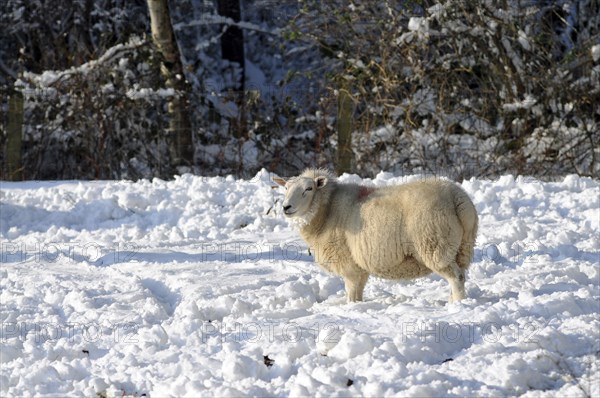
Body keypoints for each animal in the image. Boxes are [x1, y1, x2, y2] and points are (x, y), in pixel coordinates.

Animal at [274, 169, 478, 304]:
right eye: (286, 188)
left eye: (308, 189)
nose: (286, 207)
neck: (326, 209)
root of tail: (457, 198)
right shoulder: (359, 266)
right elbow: (358, 292)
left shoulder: (348, 264)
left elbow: (351, 293)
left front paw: (351, 308)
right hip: (462, 247)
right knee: (459, 275)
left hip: (435, 244)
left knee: (457, 278)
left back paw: (458, 305)